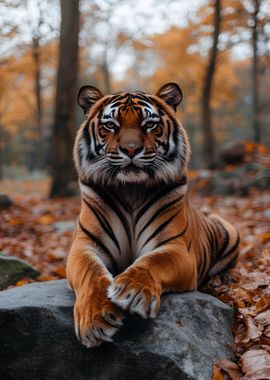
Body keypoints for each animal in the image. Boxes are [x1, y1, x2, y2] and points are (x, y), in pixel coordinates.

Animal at [66, 82, 239, 348]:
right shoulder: (84, 245)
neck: (131, 190)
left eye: (149, 124)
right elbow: (91, 274)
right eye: (111, 125)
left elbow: (153, 261)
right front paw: (95, 320)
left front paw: (132, 292)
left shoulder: (176, 249)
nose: (131, 149)